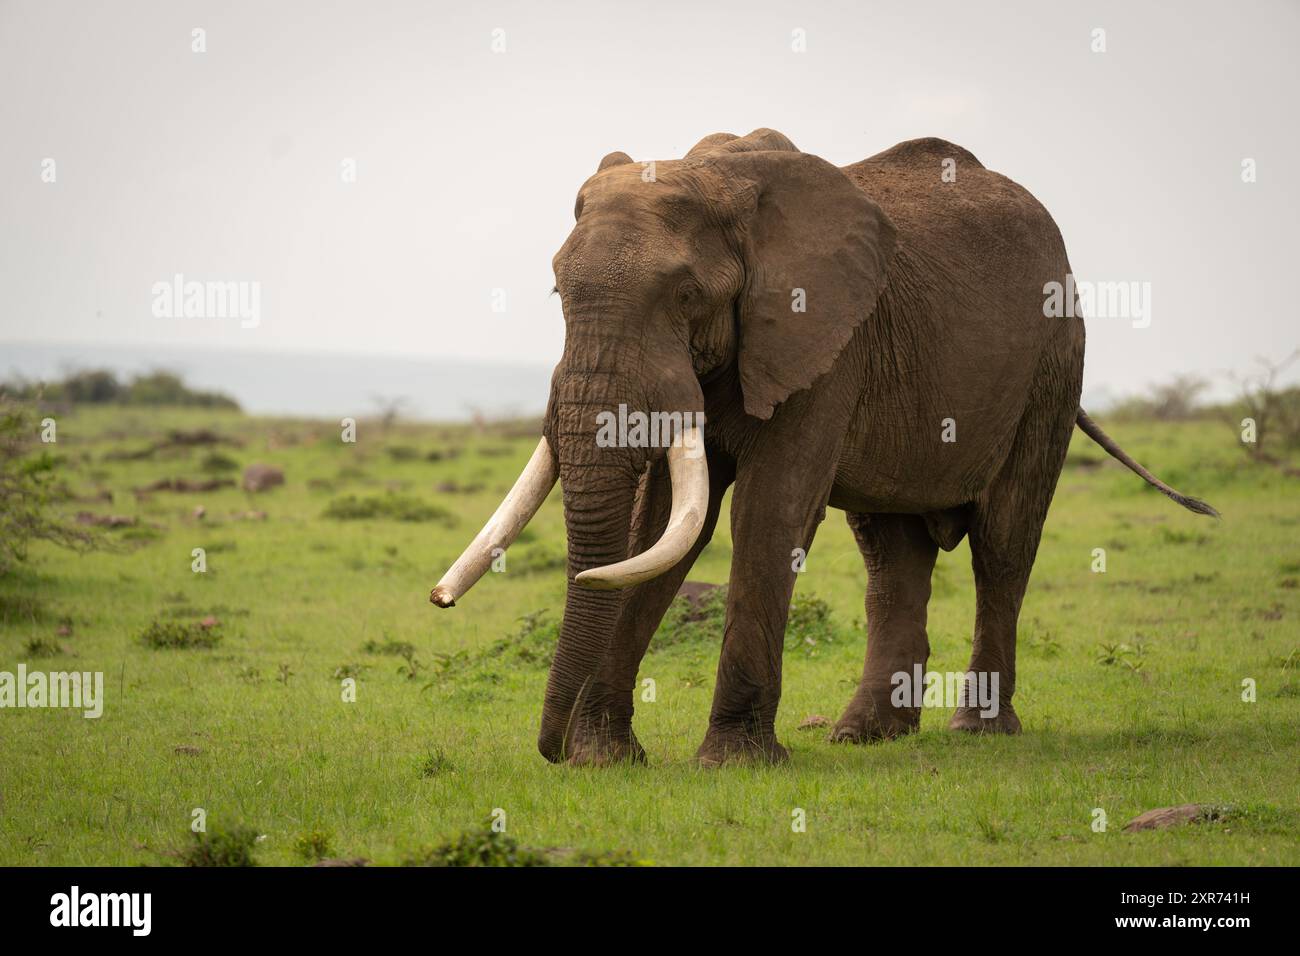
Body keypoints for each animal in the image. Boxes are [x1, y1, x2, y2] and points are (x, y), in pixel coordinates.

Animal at [431, 128, 1217, 766]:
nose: (551, 750)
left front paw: (732, 763)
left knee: (1004, 541)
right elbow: (656, 530)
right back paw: (865, 736)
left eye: (685, 295)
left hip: (1054, 361)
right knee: (891, 553)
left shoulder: (824, 338)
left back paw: (978, 731)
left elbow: (768, 513)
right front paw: (606, 760)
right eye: (558, 291)